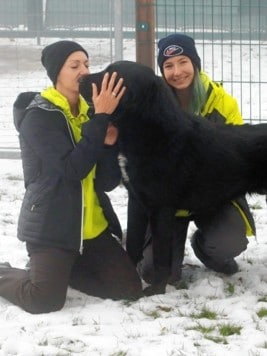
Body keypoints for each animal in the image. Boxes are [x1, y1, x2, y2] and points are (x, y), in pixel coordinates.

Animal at [79, 60, 267, 294]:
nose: (79, 79)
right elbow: (133, 243)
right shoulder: (136, 201)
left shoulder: (160, 208)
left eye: (111, 74)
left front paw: (156, 289)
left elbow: (160, 257)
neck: (150, 131)